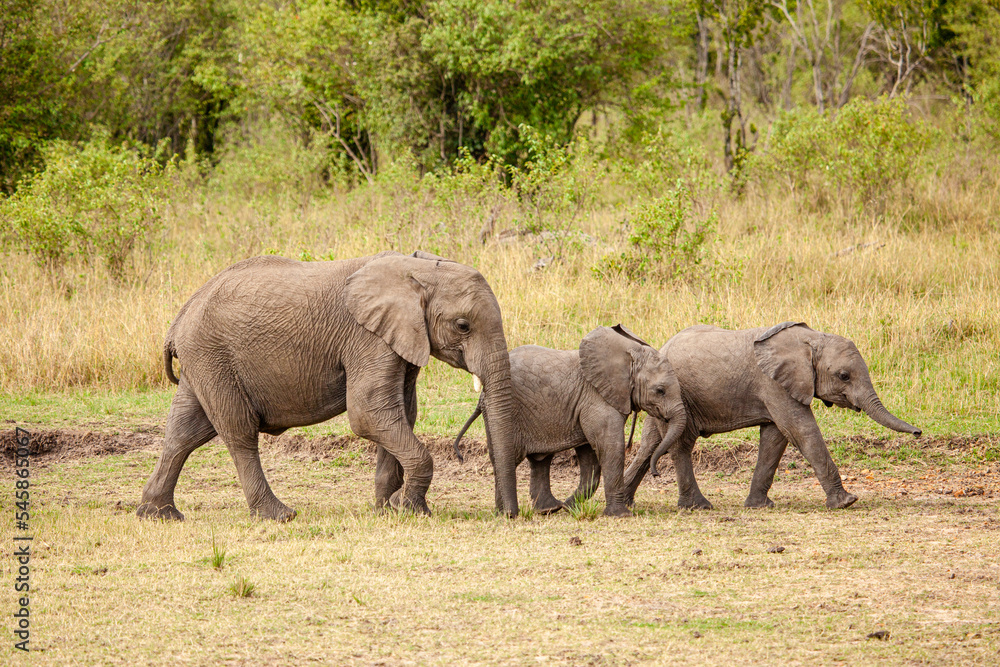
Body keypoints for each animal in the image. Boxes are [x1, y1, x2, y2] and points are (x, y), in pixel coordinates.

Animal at [139, 250, 524, 520]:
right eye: (462, 326)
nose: (506, 514)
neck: (419, 271)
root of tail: (178, 320)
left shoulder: (401, 338)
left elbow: (400, 412)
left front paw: (388, 508)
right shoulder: (367, 337)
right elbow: (368, 413)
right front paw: (412, 509)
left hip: (203, 361)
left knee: (185, 431)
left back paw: (159, 514)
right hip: (212, 356)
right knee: (238, 432)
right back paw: (279, 515)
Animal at [454, 326, 688, 520]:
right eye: (660, 390)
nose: (656, 473)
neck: (627, 356)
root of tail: (482, 395)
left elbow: (590, 456)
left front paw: (569, 507)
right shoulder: (596, 398)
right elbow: (610, 447)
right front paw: (621, 516)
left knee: (539, 459)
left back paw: (547, 509)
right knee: (511, 457)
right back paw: (514, 512)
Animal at [624, 324, 920, 512]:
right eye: (844, 376)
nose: (918, 433)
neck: (811, 338)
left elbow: (775, 439)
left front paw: (758, 506)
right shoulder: (775, 385)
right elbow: (802, 432)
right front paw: (846, 502)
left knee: (651, 445)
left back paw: (626, 501)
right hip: (676, 393)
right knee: (681, 445)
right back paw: (698, 506)